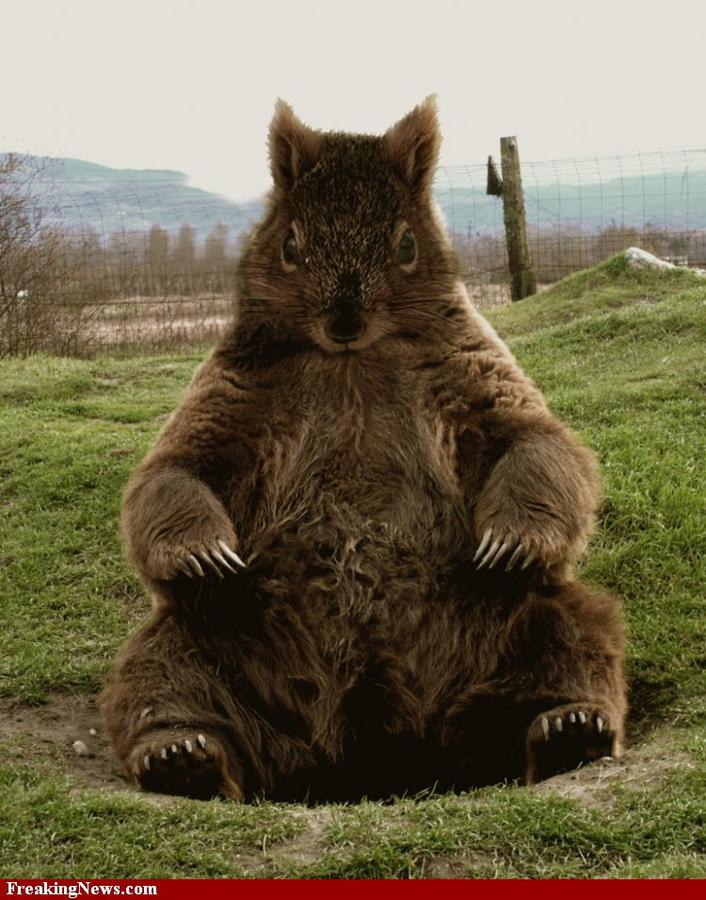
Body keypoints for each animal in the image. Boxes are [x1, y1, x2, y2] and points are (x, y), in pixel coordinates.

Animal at [100, 97, 626, 801]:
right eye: (292, 244)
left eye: (405, 244)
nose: (344, 320)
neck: (351, 362)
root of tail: (372, 745)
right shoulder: (239, 392)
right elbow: (175, 469)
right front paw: (204, 551)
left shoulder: (469, 376)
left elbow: (537, 444)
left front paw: (509, 539)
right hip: (214, 635)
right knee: (165, 678)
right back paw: (182, 754)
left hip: (518, 618)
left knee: (569, 643)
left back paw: (569, 727)